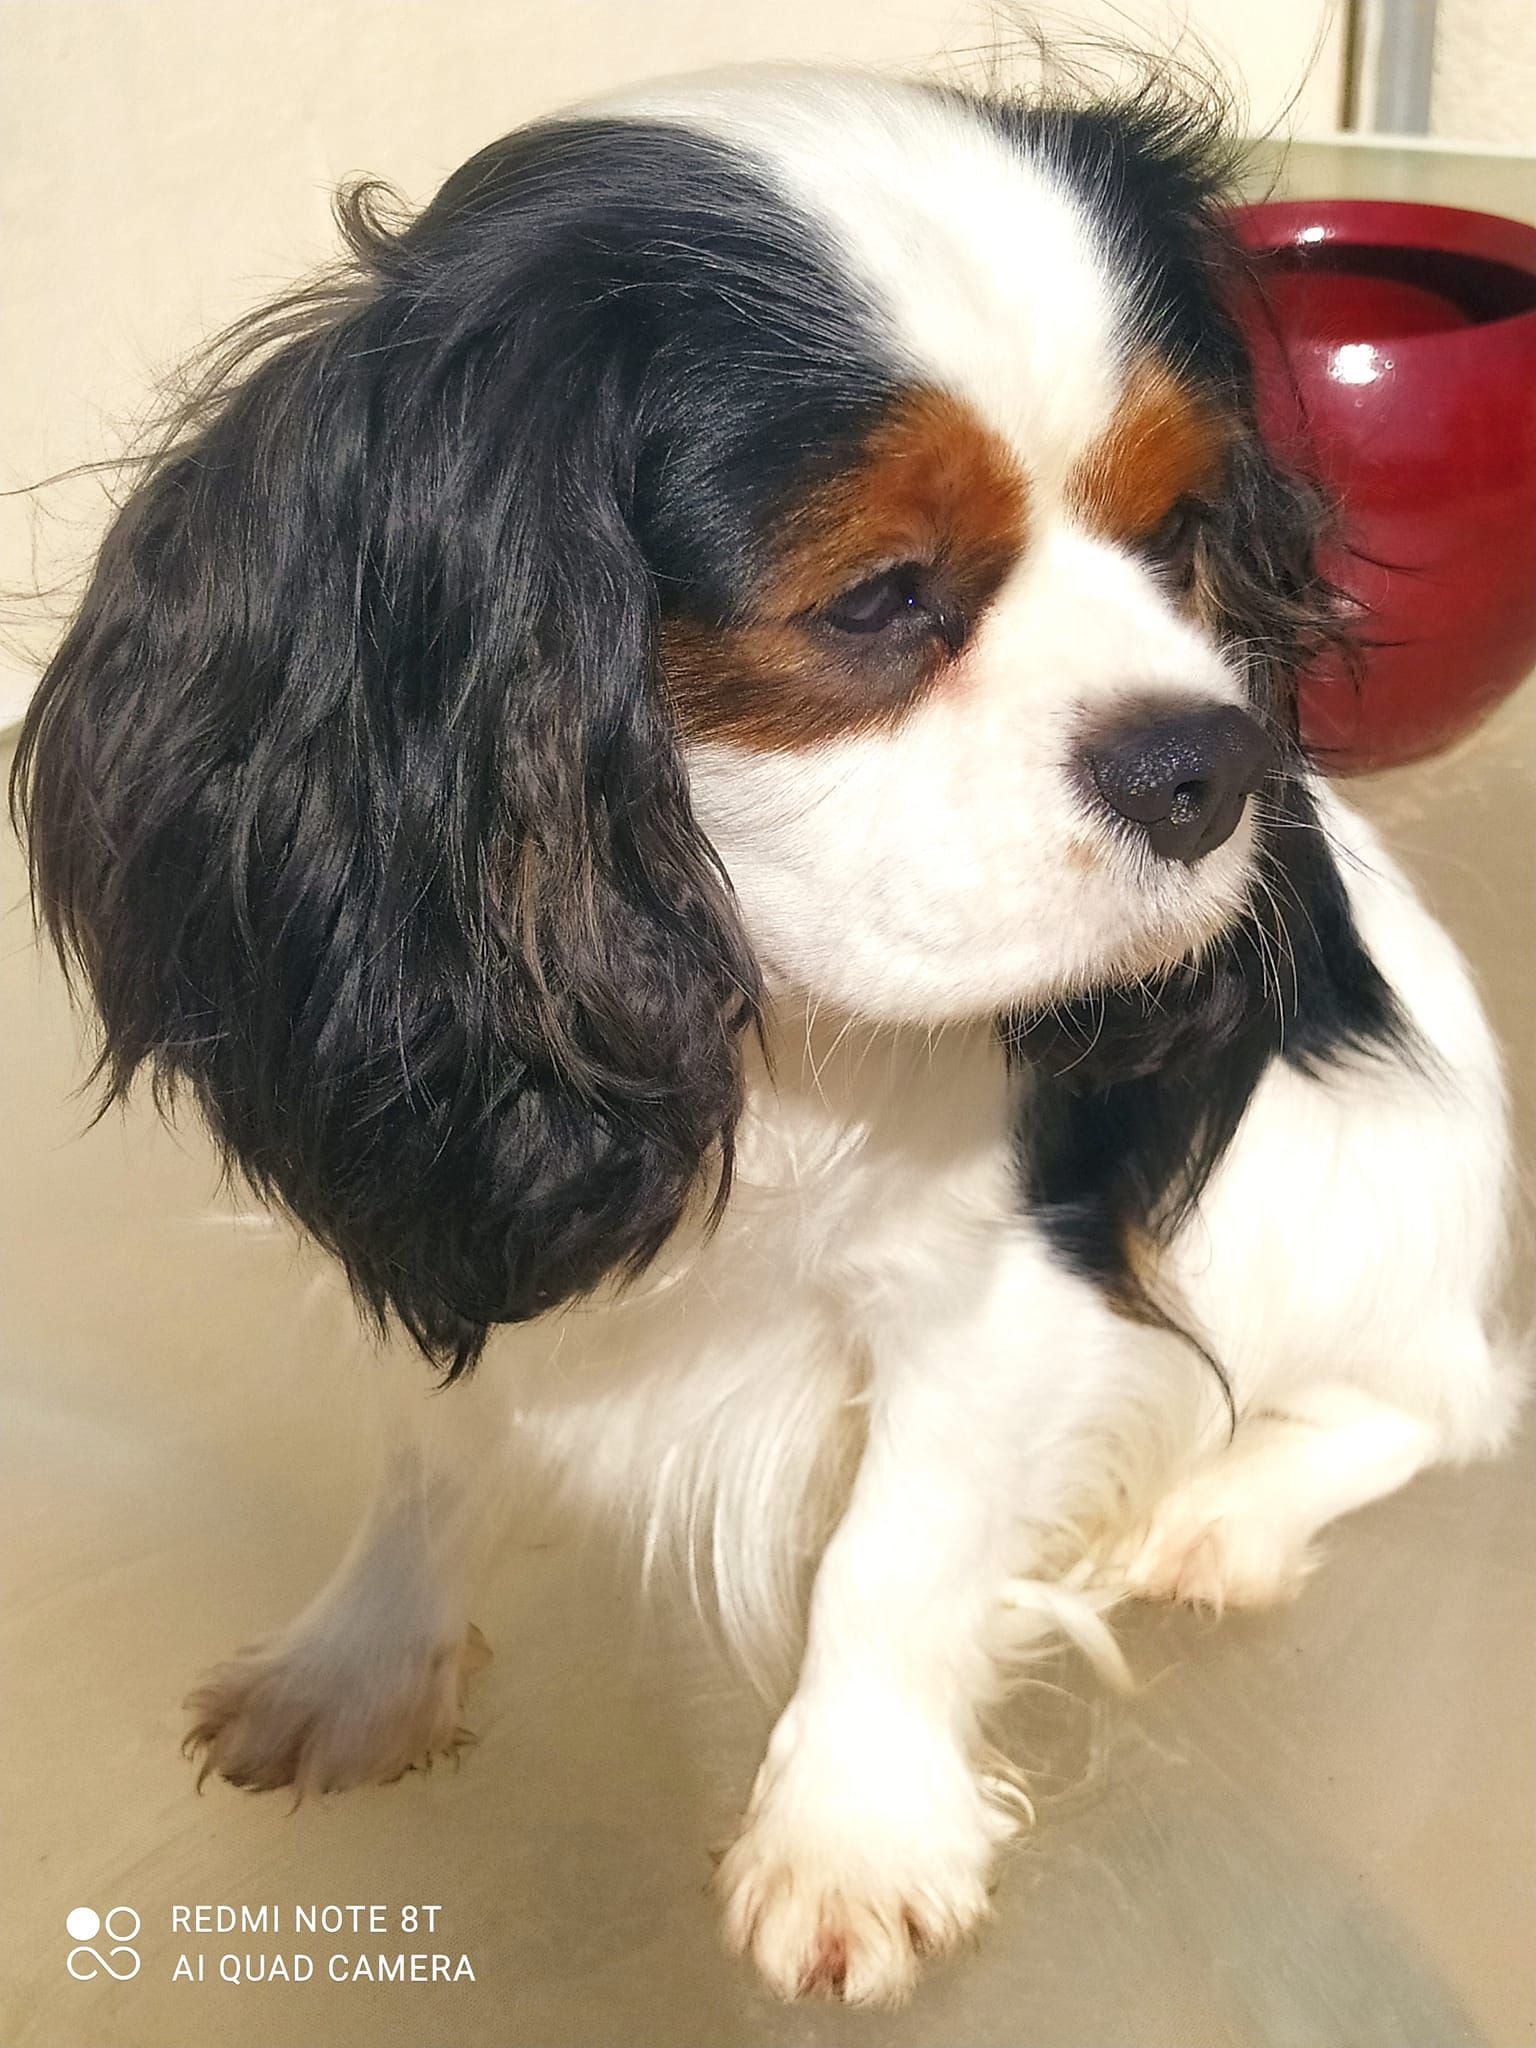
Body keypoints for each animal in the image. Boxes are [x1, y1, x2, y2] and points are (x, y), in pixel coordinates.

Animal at [12, 62, 1516, 2006]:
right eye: (877, 599)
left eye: (1182, 534)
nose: (1211, 759)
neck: (777, 1009)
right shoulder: (450, 1189)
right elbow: (430, 1453)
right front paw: (359, 1663)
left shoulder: (1006, 1290)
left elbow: (898, 1552)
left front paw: (852, 1836)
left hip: (1351, 1212)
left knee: (1440, 1403)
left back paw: (1224, 1513)